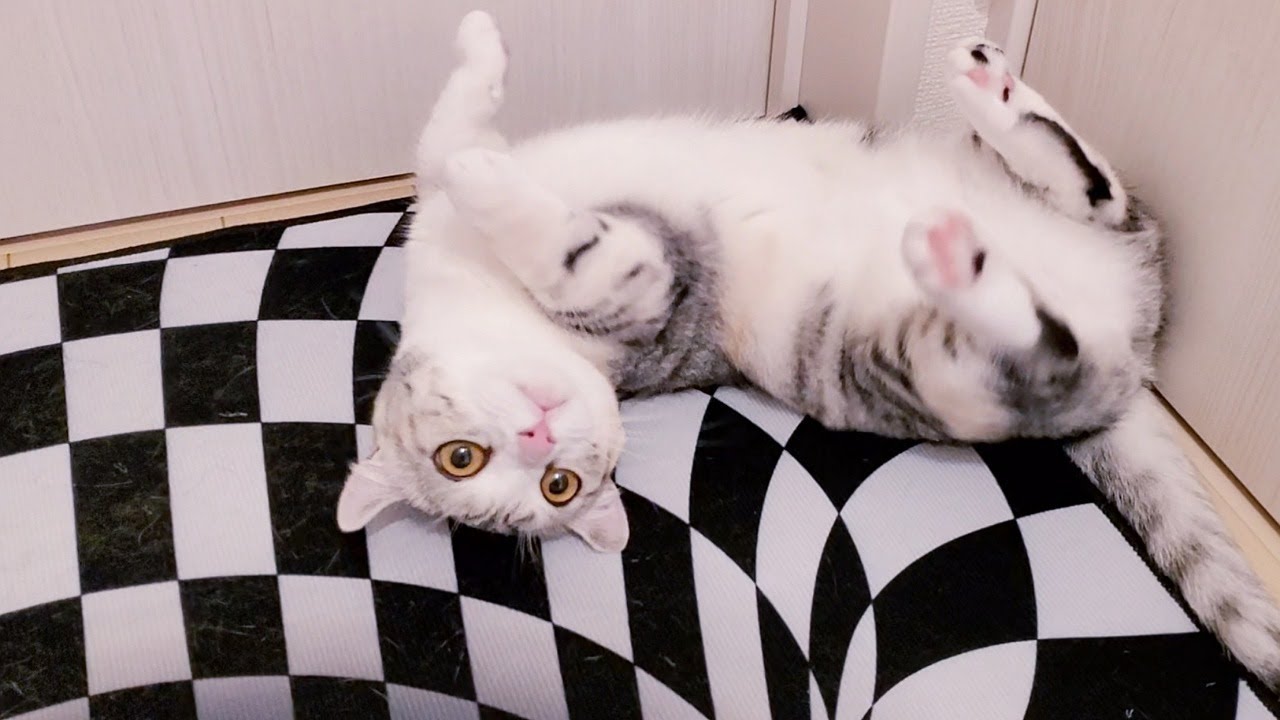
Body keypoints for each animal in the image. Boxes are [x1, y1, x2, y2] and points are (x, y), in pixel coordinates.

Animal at [337, 11, 1280, 688]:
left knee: (1096, 191)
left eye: (463, 457)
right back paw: (960, 264)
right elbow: (565, 248)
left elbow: (446, 135)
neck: (474, 286)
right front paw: (490, 182)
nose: (540, 441)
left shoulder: (458, 200)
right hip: (931, 369)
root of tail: (1138, 366)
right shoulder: (648, 291)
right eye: (551, 488)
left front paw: (476, 57)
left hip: (1058, 210)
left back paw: (992, 94)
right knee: (1046, 344)